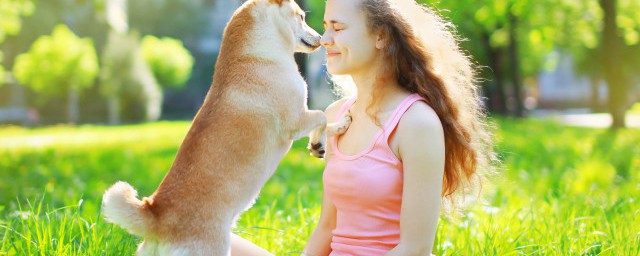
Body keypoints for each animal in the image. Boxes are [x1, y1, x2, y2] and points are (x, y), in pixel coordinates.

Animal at [101, 0, 350, 255]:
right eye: (301, 17)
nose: (320, 38)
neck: (255, 54)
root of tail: (156, 216)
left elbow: (325, 120)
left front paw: (330, 134)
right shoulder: (296, 119)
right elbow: (322, 116)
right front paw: (325, 137)